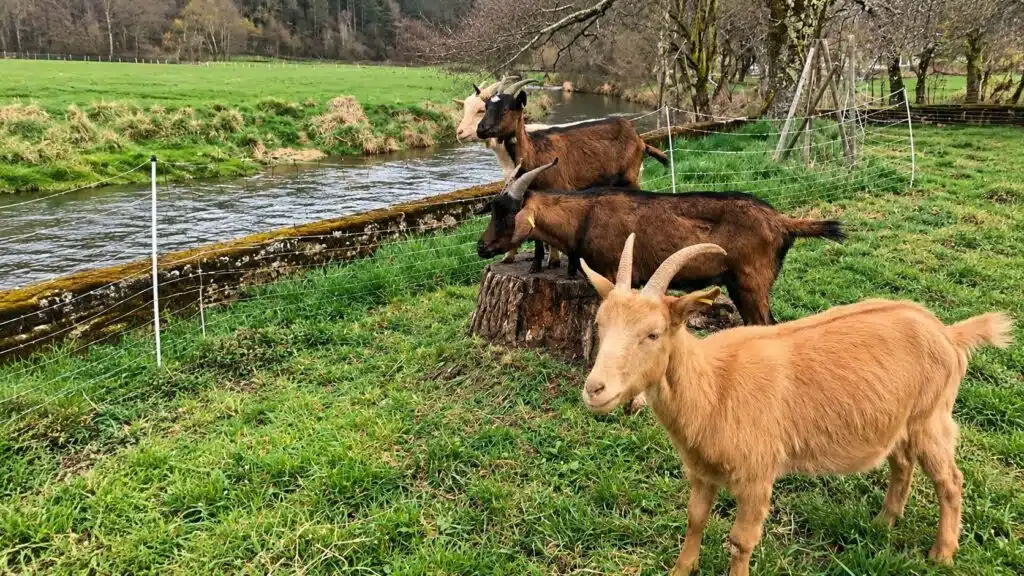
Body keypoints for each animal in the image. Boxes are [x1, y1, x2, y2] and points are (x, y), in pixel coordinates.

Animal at [476, 160, 844, 325]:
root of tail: (781, 221)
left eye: (505, 211)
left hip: (752, 282)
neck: (585, 215)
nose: (481, 247)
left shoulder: (614, 274)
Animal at [579, 233, 1013, 576]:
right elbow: (695, 520)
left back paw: (942, 554)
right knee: (902, 463)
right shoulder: (702, 470)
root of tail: (949, 334)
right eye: (599, 325)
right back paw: (883, 522)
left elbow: (741, 540)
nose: (595, 389)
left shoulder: (758, 473)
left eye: (652, 334)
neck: (714, 385)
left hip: (931, 417)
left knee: (950, 481)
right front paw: (680, 570)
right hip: (899, 418)